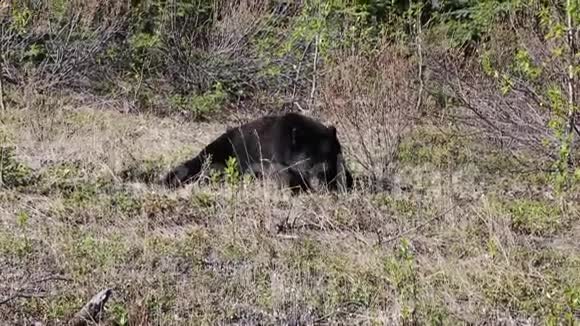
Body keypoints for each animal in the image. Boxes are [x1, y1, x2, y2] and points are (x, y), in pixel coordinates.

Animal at [161, 112, 356, 194]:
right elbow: (284, 178)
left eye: (331, 154)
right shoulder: (273, 158)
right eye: (310, 160)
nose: (322, 178)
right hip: (222, 152)